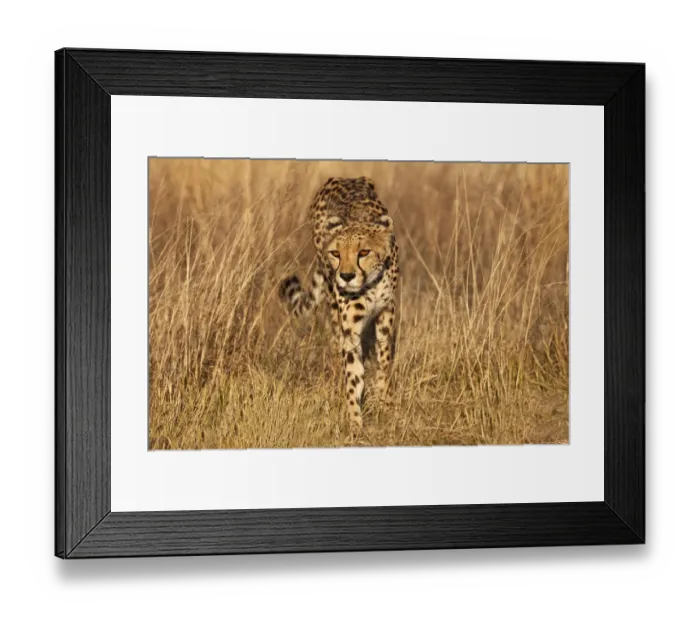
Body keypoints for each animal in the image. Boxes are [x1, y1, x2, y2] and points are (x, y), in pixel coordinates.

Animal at [279, 176, 399, 429]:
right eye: (336, 253)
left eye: (363, 252)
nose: (345, 276)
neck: (370, 283)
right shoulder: (350, 326)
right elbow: (353, 372)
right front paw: (355, 421)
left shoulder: (387, 311)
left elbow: (384, 361)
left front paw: (386, 403)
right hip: (332, 302)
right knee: (335, 339)